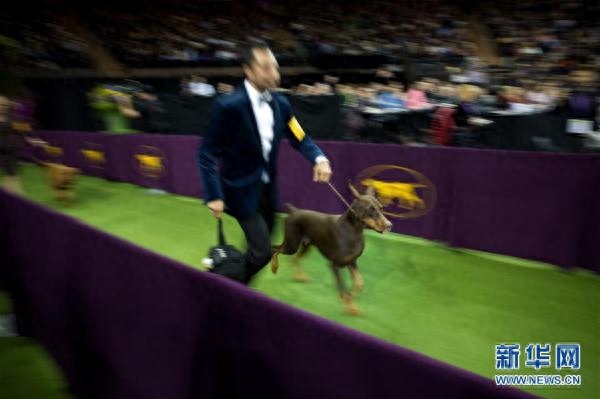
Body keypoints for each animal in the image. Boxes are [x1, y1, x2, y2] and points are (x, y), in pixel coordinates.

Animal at [272, 184, 394, 316]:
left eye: (381, 208)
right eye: (370, 209)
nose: (389, 225)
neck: (354, 230)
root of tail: (294, 211)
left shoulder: (352, 262)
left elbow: (359, 283)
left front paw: (351, 297)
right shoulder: (335, 265)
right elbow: (343, 287)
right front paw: (350, 307)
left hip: (306, 246)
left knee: (294, 258)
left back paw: (300, 277)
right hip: (291, 245)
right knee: (275, 249)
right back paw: (274, 267)